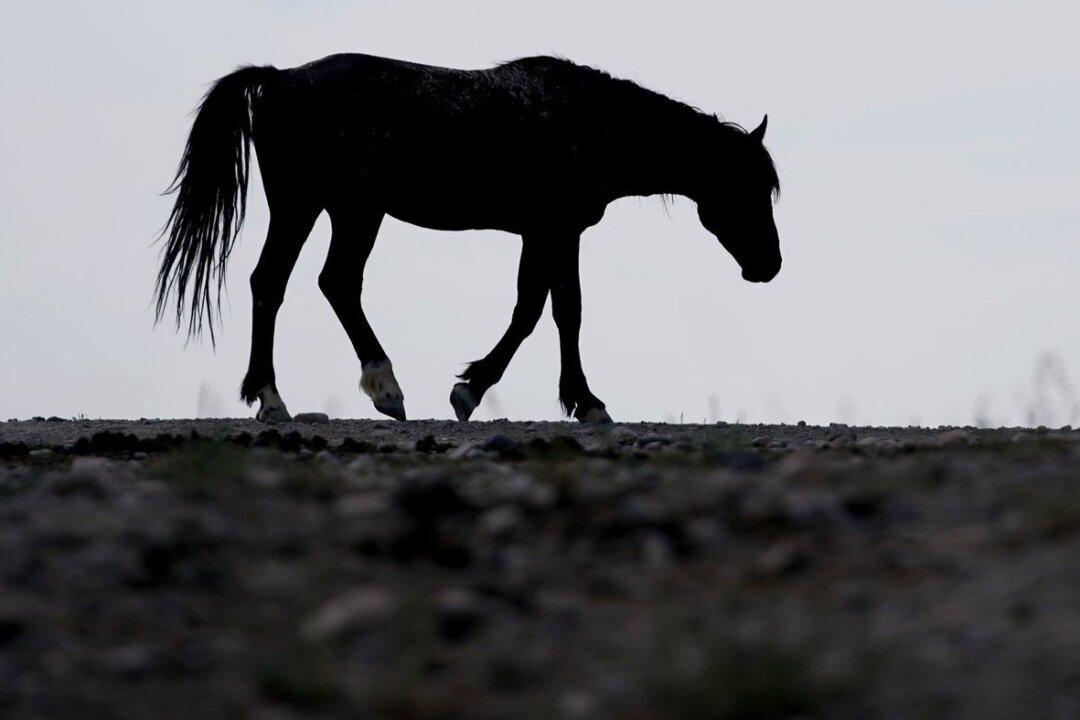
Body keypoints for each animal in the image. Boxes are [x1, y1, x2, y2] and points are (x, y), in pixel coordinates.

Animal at [155, 53, 781, 423]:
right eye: (746, 187)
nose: (769, 265)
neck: (589, 122)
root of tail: (279, 78)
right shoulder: (554, 230)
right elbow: (549, 312)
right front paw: (560, 399)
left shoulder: (549, 234)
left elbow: (547, 309)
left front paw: (531, 393)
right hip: (329, 209)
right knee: (310, 283)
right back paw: (342, 391)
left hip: (331, 210)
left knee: (296, 283)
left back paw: (302, 395)